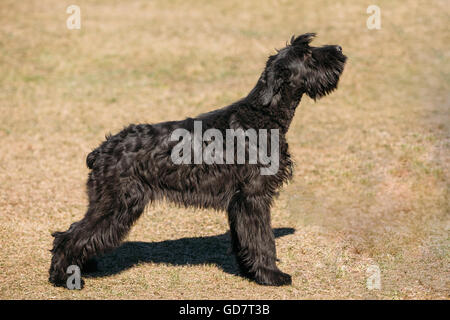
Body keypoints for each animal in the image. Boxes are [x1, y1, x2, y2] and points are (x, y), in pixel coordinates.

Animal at [49, 33, 346, 288]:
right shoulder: (255, 197)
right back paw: (65, 278)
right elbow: (263, 239)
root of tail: (101, 150)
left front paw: (249, 271)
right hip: (117, 204)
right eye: (307, 54)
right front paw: (271, 275)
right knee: (68, 237)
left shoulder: (240, 203)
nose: (340, 48)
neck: (262, 117)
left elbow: (244, 239)